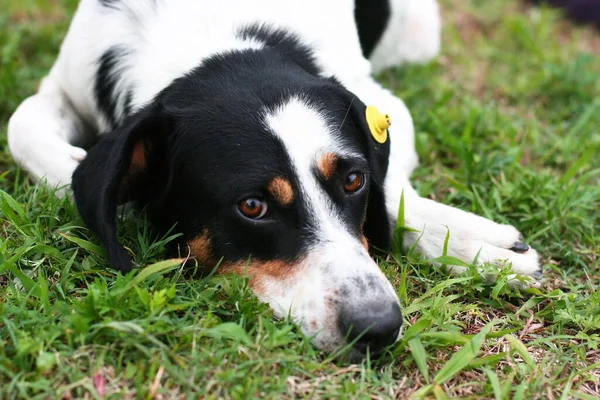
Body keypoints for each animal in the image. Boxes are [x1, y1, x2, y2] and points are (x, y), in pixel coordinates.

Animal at [8, 0, 544, 358]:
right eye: (252, 207)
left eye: (354, 180)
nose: (379, 327)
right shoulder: (66, 82)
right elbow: (22, 129)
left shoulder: (387, 108)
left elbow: (392, 195)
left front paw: (472, 244)